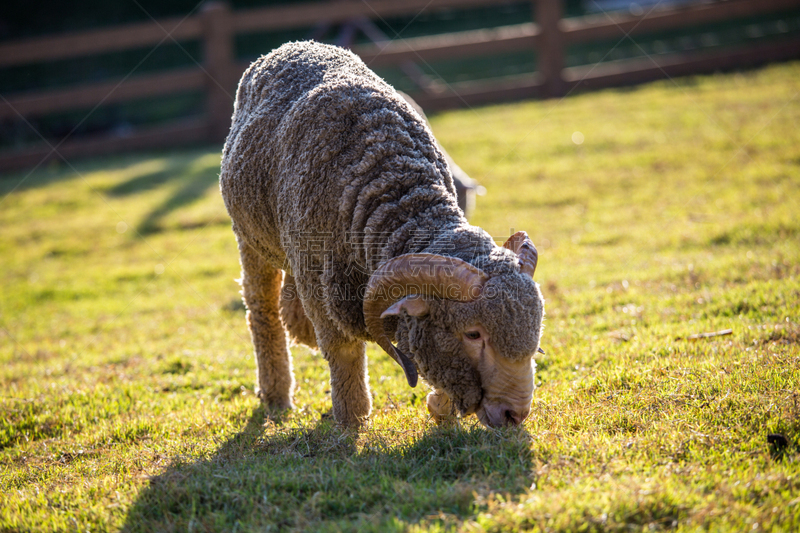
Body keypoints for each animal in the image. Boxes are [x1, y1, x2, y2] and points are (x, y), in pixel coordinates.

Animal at [219, 41, 544, 428]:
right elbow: (343, 350)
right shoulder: (321, 283)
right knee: (262, 310)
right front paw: (351, 417)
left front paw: (440, 406)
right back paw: (276, 393)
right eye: (473, 334)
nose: (515, 414)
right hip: (251, 239)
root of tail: (293, 46)